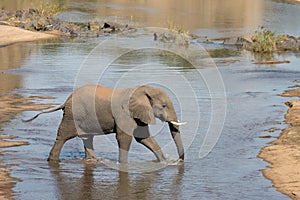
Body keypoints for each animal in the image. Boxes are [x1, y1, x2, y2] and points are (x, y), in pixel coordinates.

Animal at [25, 83, 185, 163]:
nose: (180, 160)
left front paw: (164, 162)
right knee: (63, 136)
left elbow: (143, 138)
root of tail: (66, 100)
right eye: (164, 106)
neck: (140, 90)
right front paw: (123, 164)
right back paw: (52, 160)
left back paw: (93, 160)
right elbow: (125, 137)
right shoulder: (124, 113)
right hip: (72, 115)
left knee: (87, 138)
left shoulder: (137, 114)